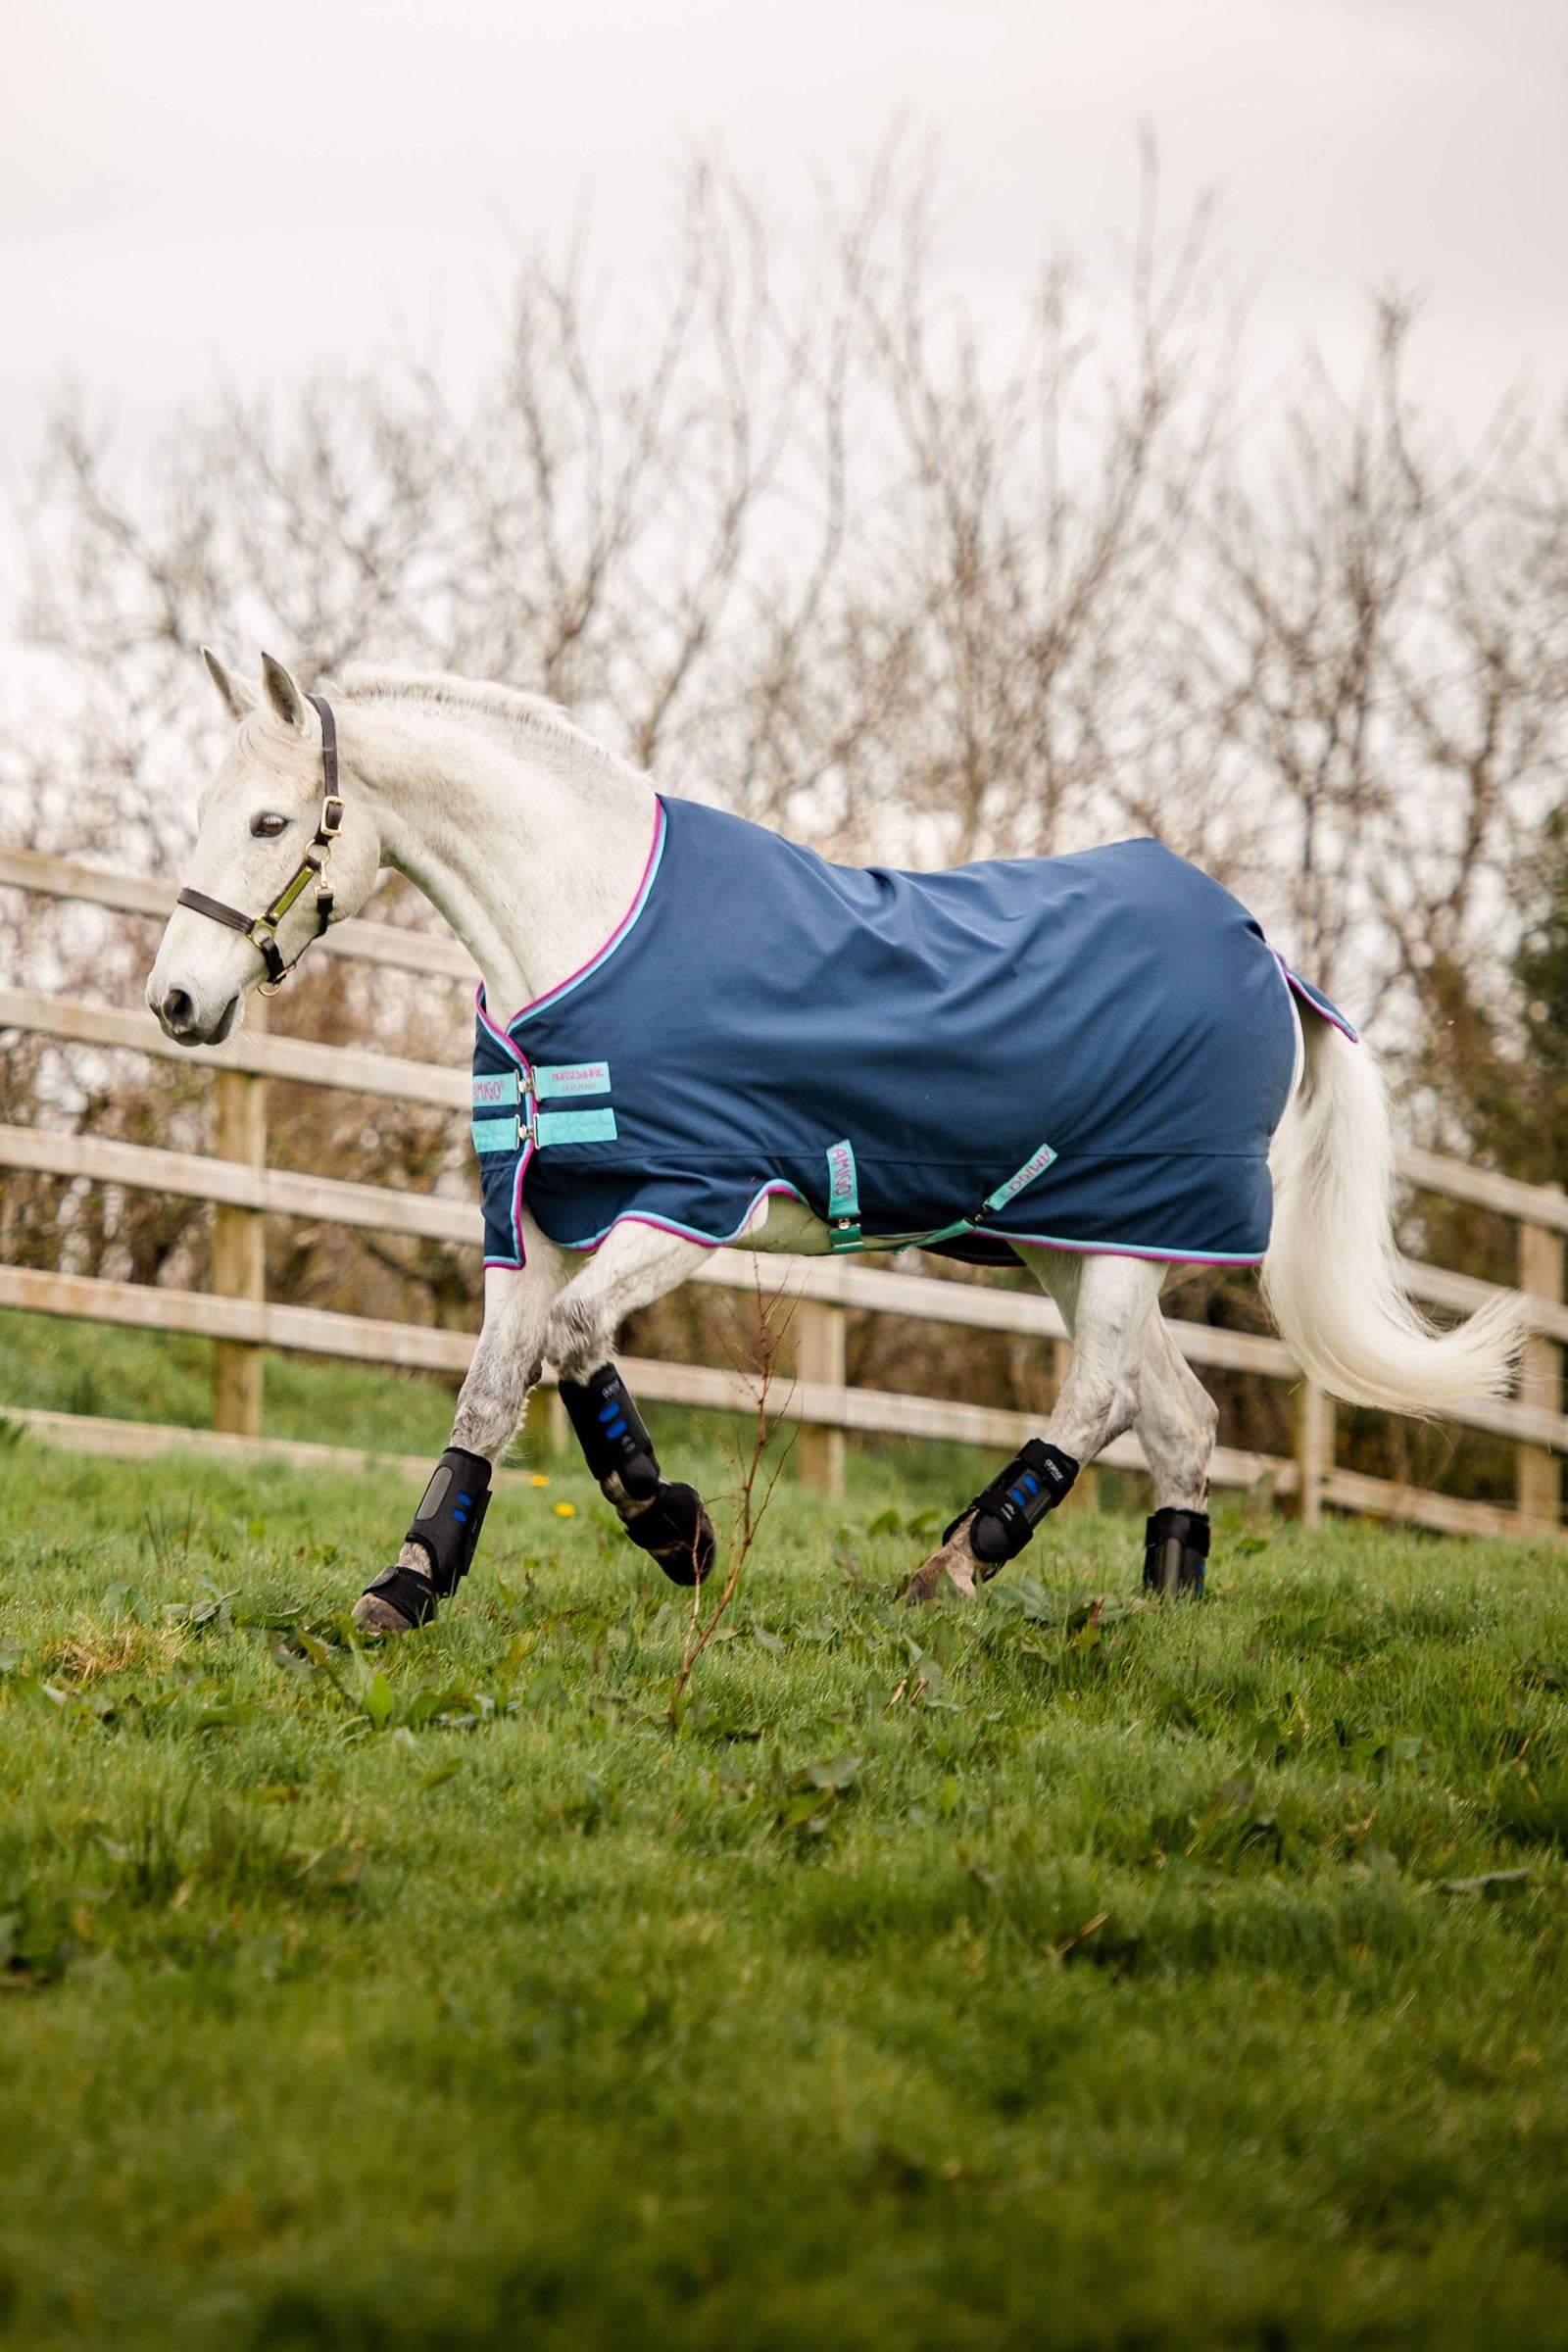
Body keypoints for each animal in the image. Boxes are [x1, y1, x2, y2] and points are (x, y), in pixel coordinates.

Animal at [146, 651, 1525, 1629]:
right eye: (202, 810)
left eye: (270, 824)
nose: (175, 1002)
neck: (586, 927)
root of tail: (1266, 954)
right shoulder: (529, 1213)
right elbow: (493, 1387)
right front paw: (410, 1581)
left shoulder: (691, 1198)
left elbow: (575, 1345)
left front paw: (676, 1531)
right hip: (1072, 1239)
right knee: (1177, 1416)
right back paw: (1163, 1614)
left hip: (1134, 1233)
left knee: (1096, 1402)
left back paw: (949, 1572)